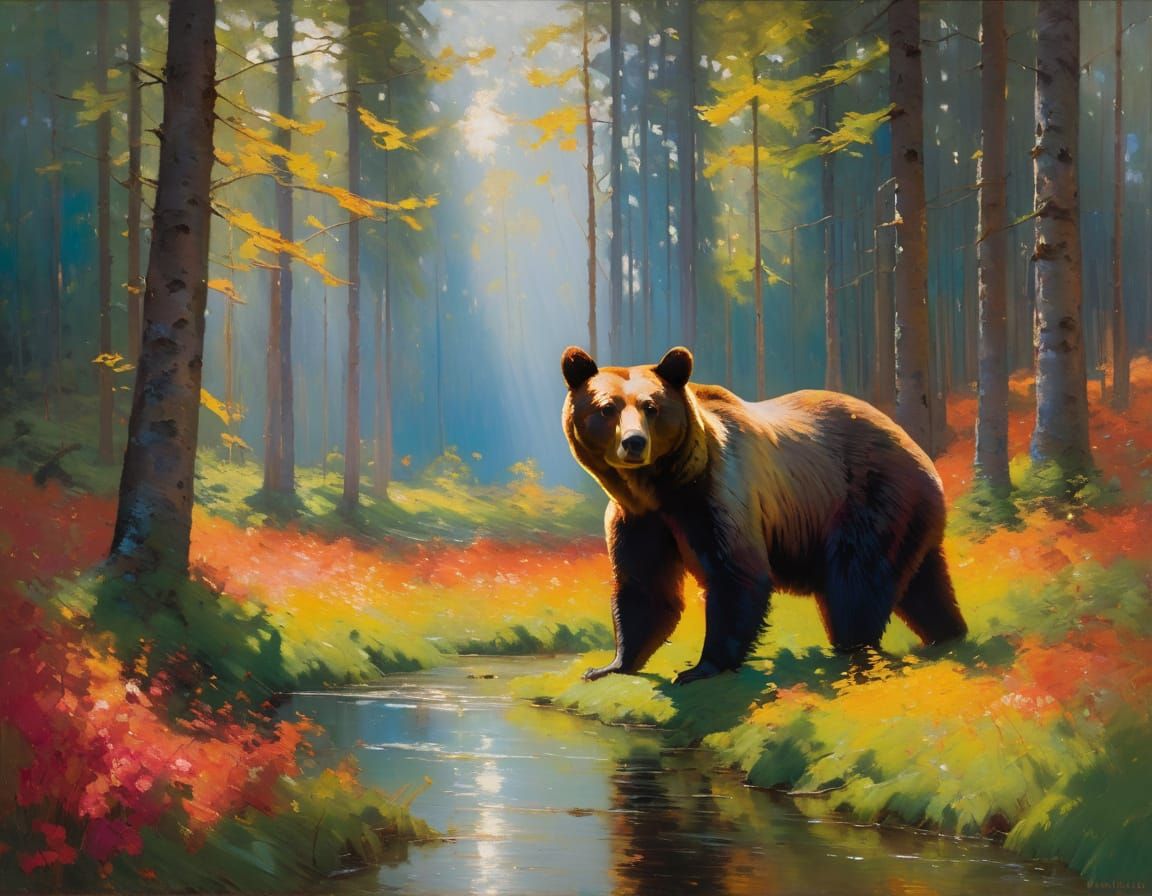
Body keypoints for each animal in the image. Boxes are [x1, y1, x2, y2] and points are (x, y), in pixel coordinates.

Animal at [560, 345, 967, 685]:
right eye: (607, 408)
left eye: (651, 407)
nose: (634, 443)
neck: (660, 487)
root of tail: (920, 455)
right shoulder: (638, 518)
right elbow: (644, 586)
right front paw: (610, 665)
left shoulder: (717, 494)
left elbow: (736, 573)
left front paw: (700, 668)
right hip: (907, 515)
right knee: (924, 585)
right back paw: (948, 634)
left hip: (868, 498)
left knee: (856, 583)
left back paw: (850, 652)